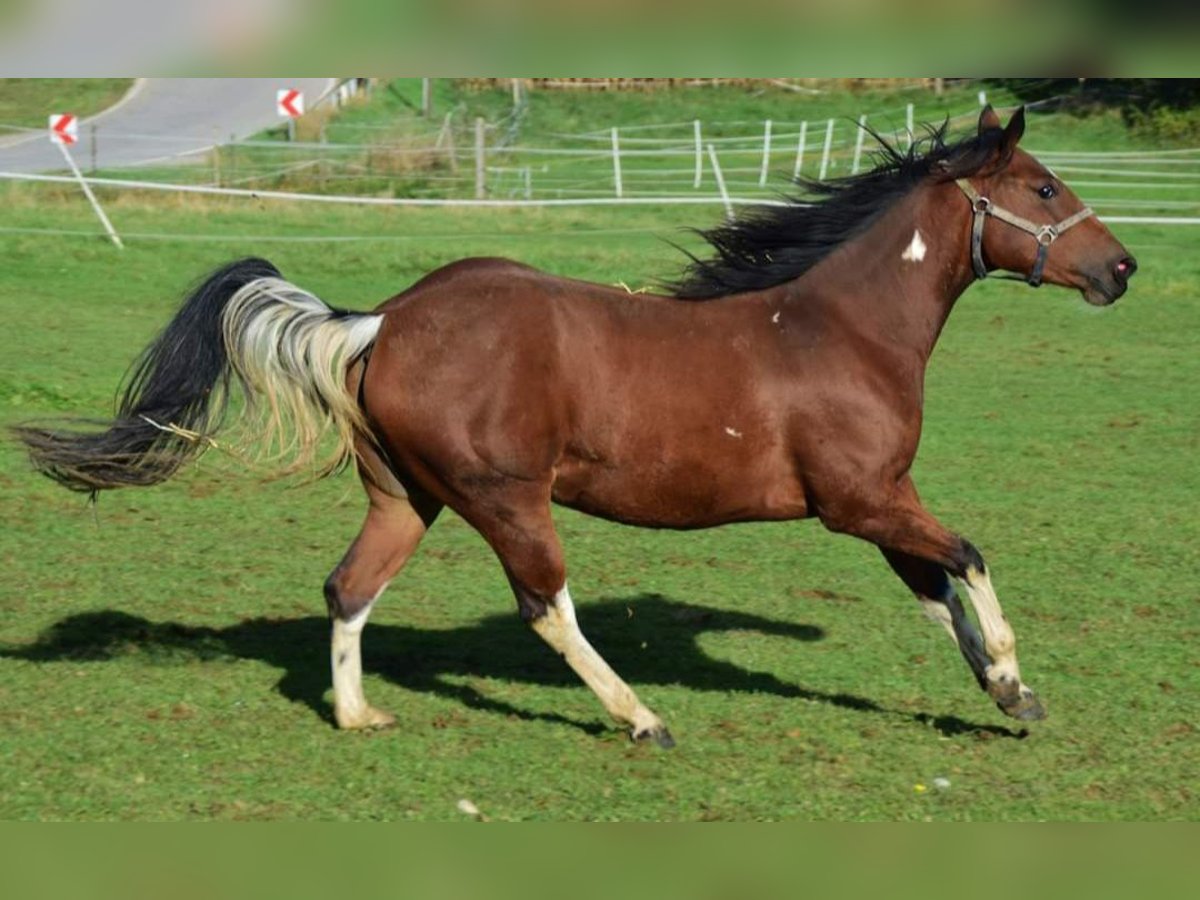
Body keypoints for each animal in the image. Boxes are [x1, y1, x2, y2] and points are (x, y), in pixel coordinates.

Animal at [16, 107, 1132, 748]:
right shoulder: (860, 501)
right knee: (546, 607)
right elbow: (969, 560)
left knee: (348, 588)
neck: (839, 330)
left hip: (407, 498)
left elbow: (936, 590)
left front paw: (1004, 694)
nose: (1120, 269)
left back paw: (359, 713)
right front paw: (1015, 681)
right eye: (1043, 188)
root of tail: (384, 319)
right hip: (506, 498)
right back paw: (642, 719)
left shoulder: (877, 503)